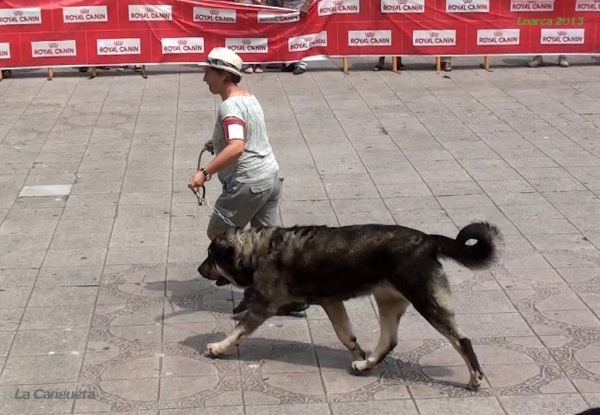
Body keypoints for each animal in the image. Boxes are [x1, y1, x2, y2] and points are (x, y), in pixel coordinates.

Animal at [197, 223, 502, 392]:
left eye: (211, 255)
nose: (199, 270)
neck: (259, 249)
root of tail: (427, 239)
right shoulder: (332, 302)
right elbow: (346, 335)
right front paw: (358, 352)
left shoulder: (264, 305)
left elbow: (238, 331)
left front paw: (219, 347)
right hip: (388, 301)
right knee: (388, 341)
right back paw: (366, 364)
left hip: (426, 302)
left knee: (461, 340)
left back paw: (475, 379)